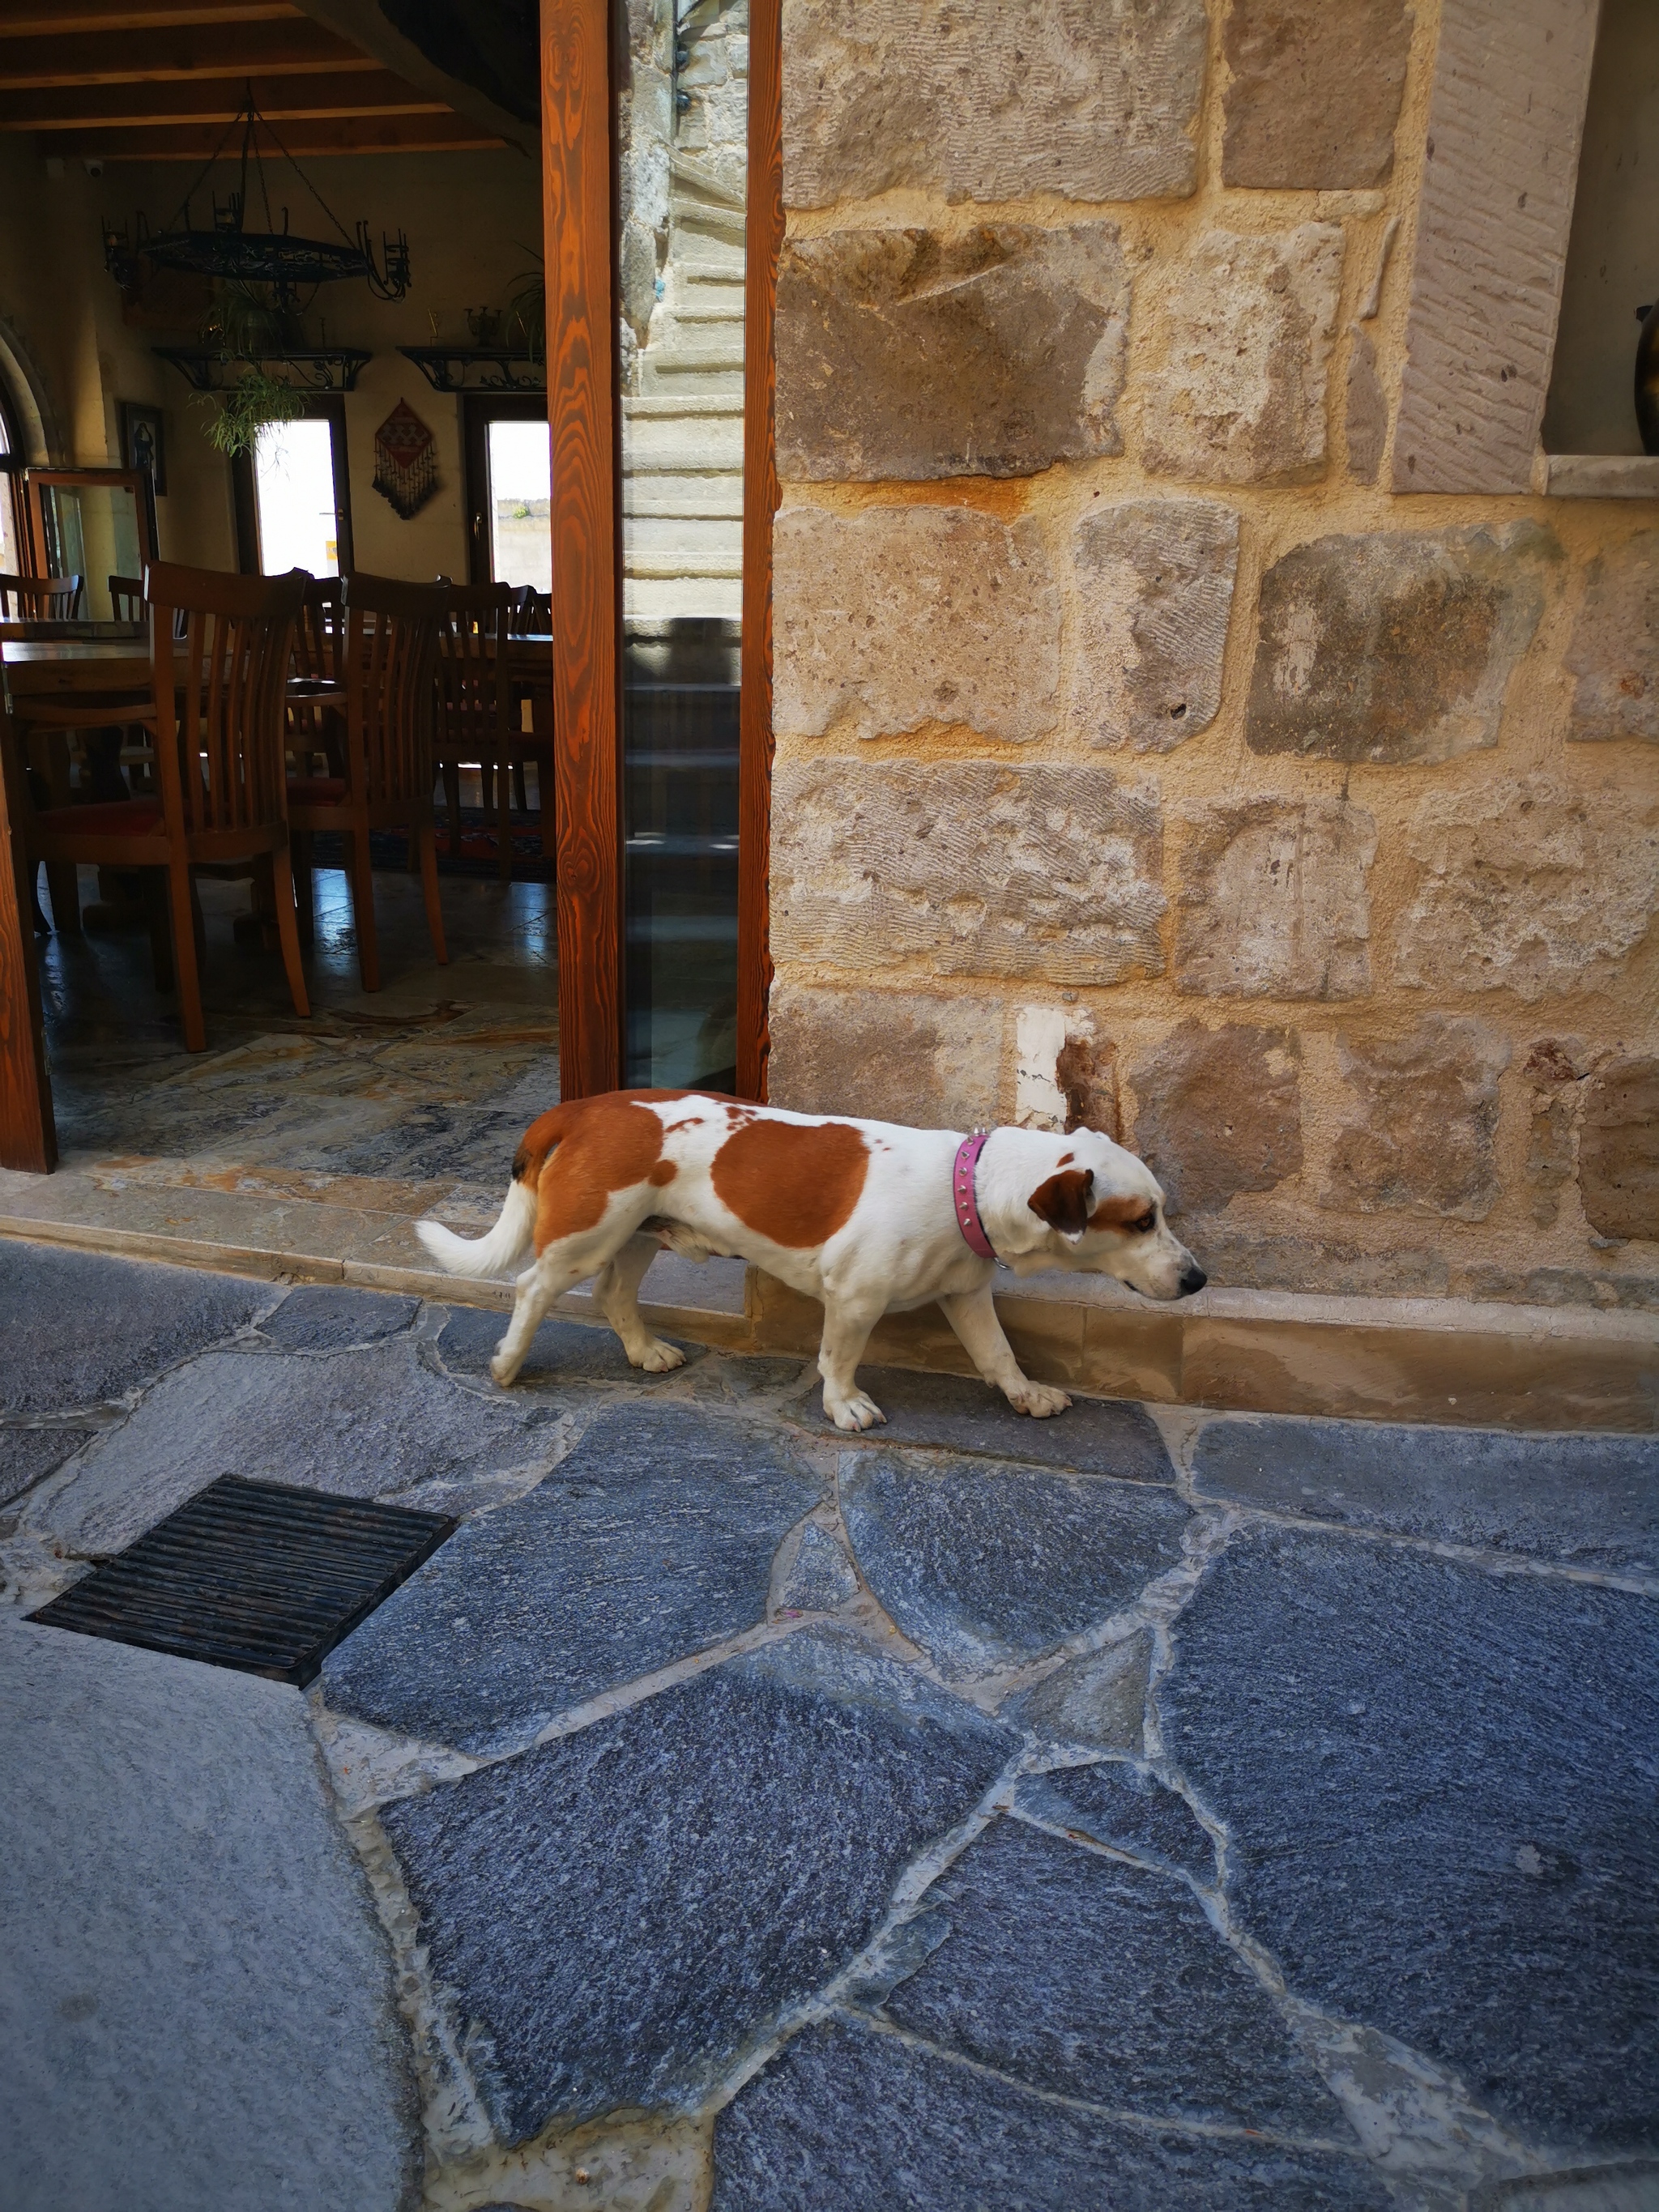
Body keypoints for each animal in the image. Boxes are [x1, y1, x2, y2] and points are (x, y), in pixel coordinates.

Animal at [416, 1088, 1212, 1433]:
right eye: (1141, 1221)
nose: (1199, 1278)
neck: (969, 1184)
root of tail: (587, 1105)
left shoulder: (966, 1295)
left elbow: (998, 1353)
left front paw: (1024, 1393)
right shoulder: (854, 1298)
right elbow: (839, 1356)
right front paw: (843, 1403)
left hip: (639, 1233)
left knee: (615, 1295)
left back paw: (644, 1351)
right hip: (586, 1236)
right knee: (531, 1286)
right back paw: (508, 1363)